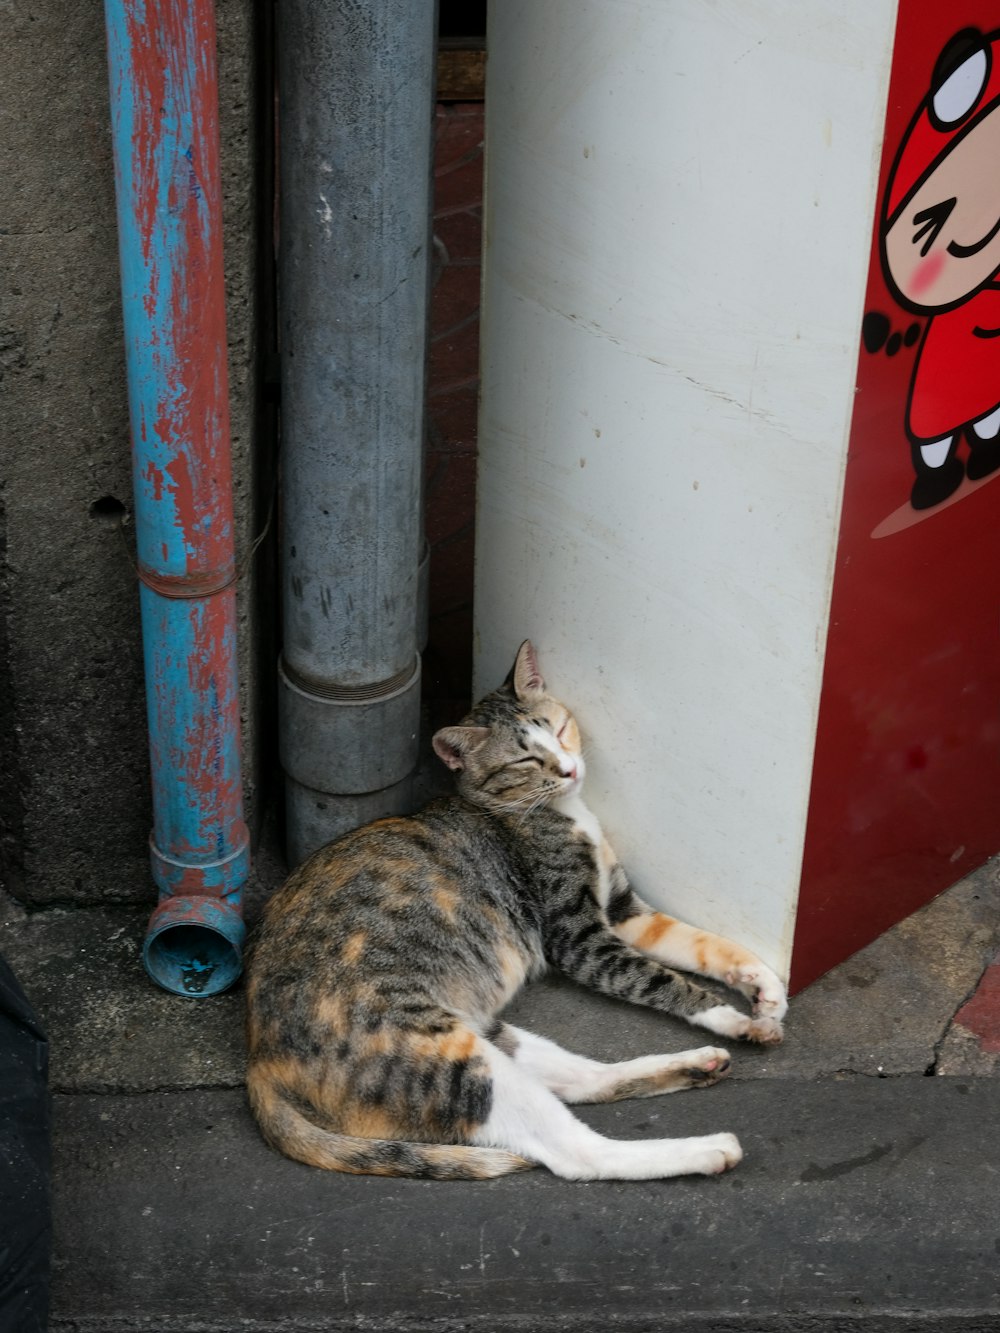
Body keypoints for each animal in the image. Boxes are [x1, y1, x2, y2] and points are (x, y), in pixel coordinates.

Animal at [246, 639, 789, 1183]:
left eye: (560, 729)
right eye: (527, 759)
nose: (569, 769)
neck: (558, 813)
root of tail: (257, 1062)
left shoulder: (624, 910)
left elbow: (702, 943)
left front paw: (763, 986)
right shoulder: (581, 938)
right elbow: (660, 980)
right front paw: (733, 1015)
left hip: (483, 1031)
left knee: (584, 1080)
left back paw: (693, 1066)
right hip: (442, 1053)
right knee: (573, 1152)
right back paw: (705, 1149)